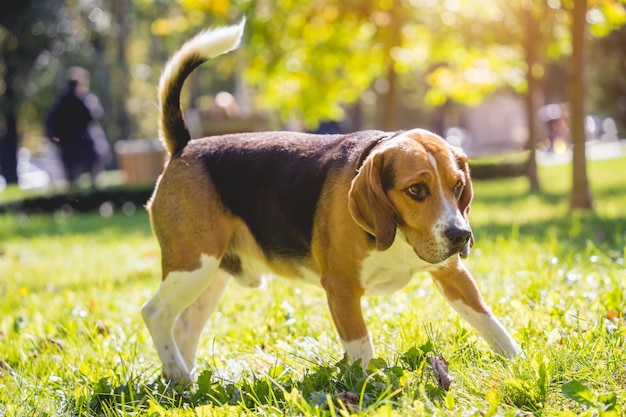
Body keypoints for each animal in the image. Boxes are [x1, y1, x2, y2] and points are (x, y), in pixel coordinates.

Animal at [141, 21, 516, 382]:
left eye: (458, 186)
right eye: (415, 190)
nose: (461, 236)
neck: (397, 236)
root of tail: (184, 146)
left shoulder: (453, 273)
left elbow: (491, 322)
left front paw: (517, 363)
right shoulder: (341, 288)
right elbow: (362, 349)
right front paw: (366, 388)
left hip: (209, 274)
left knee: (184, 325)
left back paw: (186, 382)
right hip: (193, 264)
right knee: (155, 313)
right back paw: (178, 373)